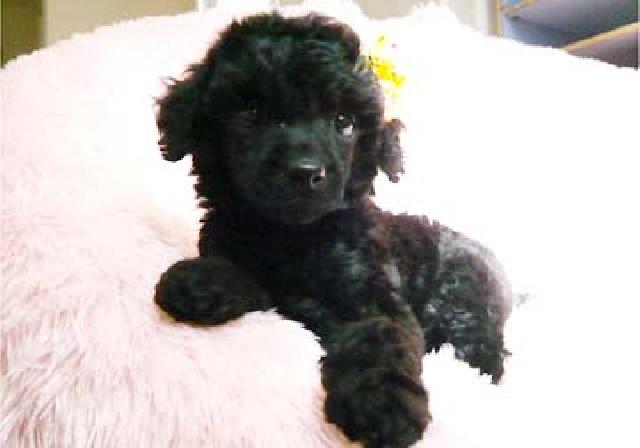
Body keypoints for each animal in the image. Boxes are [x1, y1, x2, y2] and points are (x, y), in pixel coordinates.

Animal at [154, 12, 511, 447]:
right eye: (250, 113)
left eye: (345, 122)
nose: (305, 171)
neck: (293, 235)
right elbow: (253, 278)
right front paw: (201, 280)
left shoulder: (374, 293)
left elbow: (380, 337)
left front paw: (383, 404)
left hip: (463, 295)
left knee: (479, 342)